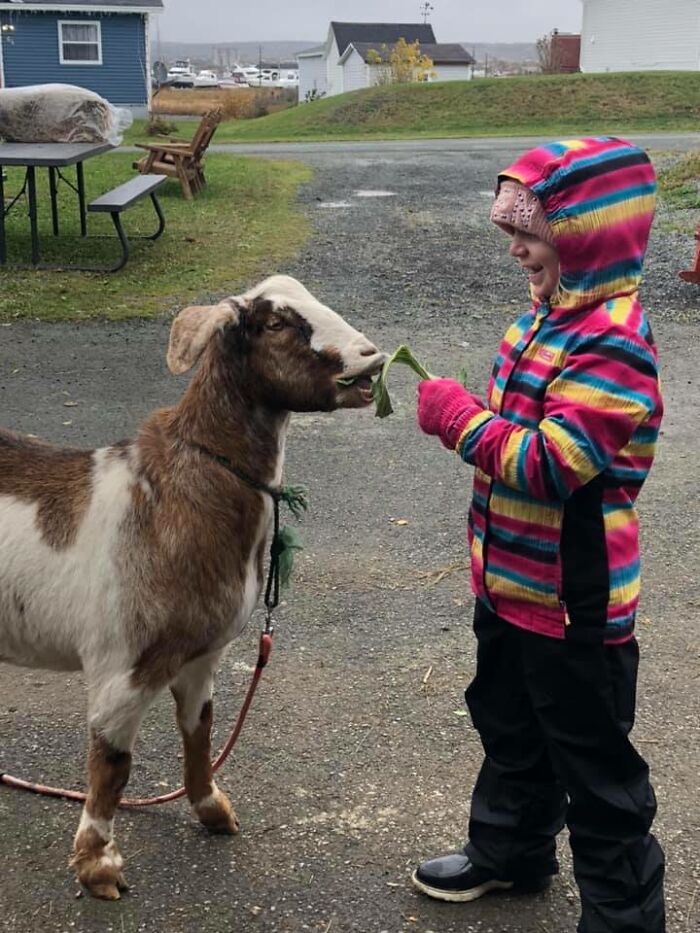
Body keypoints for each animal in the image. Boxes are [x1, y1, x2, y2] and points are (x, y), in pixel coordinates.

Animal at [0, 274, 386, 900]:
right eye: (274, 323)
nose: (370, 358)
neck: (179, 493)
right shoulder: (122, 666)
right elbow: (112, 766)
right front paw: (98, 866)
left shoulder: (203, 654)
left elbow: (201, 731)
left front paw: (212, 809)